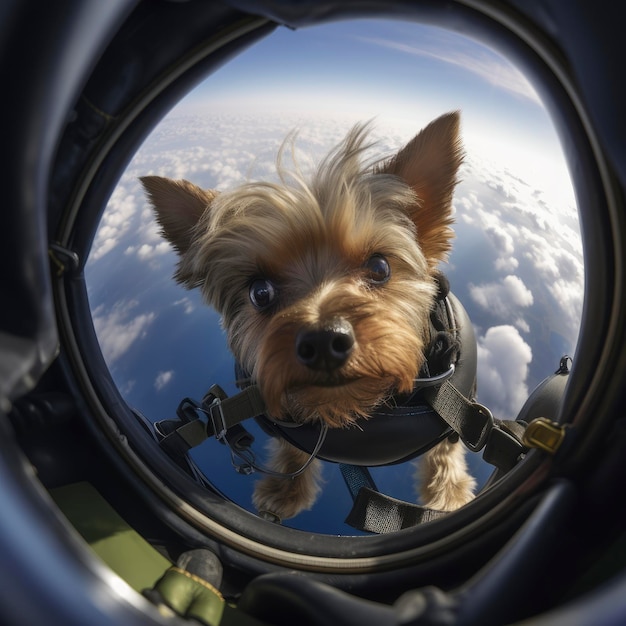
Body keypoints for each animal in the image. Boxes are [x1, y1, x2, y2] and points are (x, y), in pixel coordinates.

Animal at [140, 111, 472, 516]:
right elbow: (295, 443)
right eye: (260, 292)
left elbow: (445, 447)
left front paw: (449, 497)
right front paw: (286, 489)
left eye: (379, 267)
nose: (324, 341)